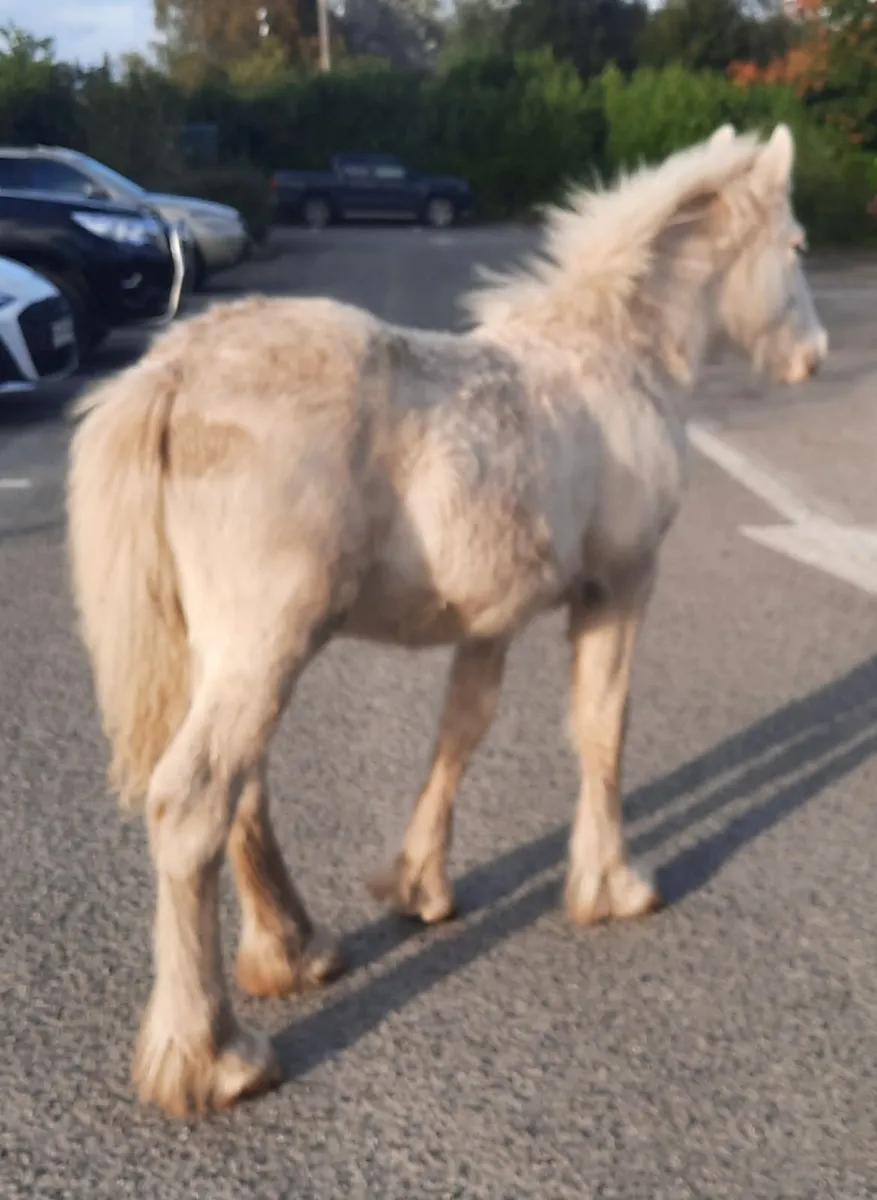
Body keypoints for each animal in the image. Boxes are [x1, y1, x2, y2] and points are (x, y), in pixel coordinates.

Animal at [65, 122, 828, 1117]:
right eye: (797, 246)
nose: (813, 357)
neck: (614, 357)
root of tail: (174, 369)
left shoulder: (490, 618)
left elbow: (460, 730)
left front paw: (417, 885)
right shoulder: (619, 586)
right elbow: (602, 727)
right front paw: (612, 885)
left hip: (226, 651)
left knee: (244, 791)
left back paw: (295, 951)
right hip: (266, 643)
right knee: (193, 800)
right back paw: (213, 1057)